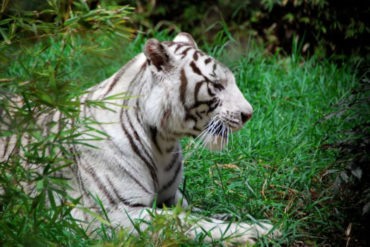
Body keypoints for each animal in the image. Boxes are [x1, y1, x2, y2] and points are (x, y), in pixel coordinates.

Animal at [0, 32, 278, 243]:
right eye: (216, 85)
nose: (248, 114)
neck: (163, 143)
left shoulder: (173, 198)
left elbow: (200, 213)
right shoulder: (116, 214)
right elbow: (188, 222)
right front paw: (259, 231)